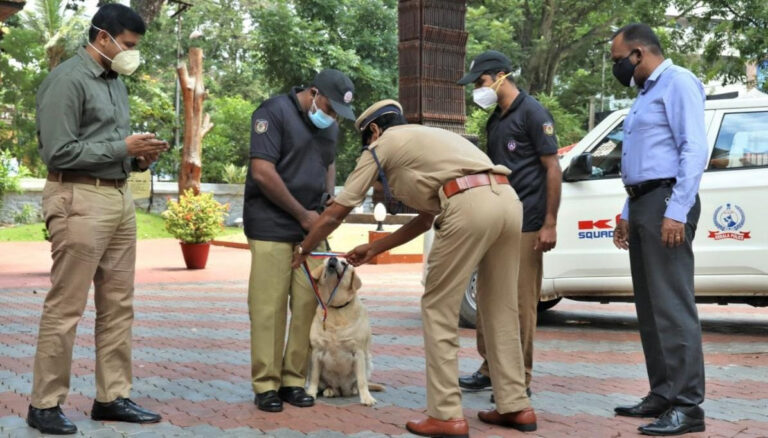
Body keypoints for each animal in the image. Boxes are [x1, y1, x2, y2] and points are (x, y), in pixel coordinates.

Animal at [304, 256, 380, 408]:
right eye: (327, 259)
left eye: (344, 263)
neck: (336, 308)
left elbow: (362, 380)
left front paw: (367, 398)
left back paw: (354, 390)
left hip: (368, 361)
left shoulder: (359, 352)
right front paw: (311, 393)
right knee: (326, 384)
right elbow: (314, 378)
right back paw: (329, 390)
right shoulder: (316, 351)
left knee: (358, 383)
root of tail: (342, 390)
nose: (332, 259)